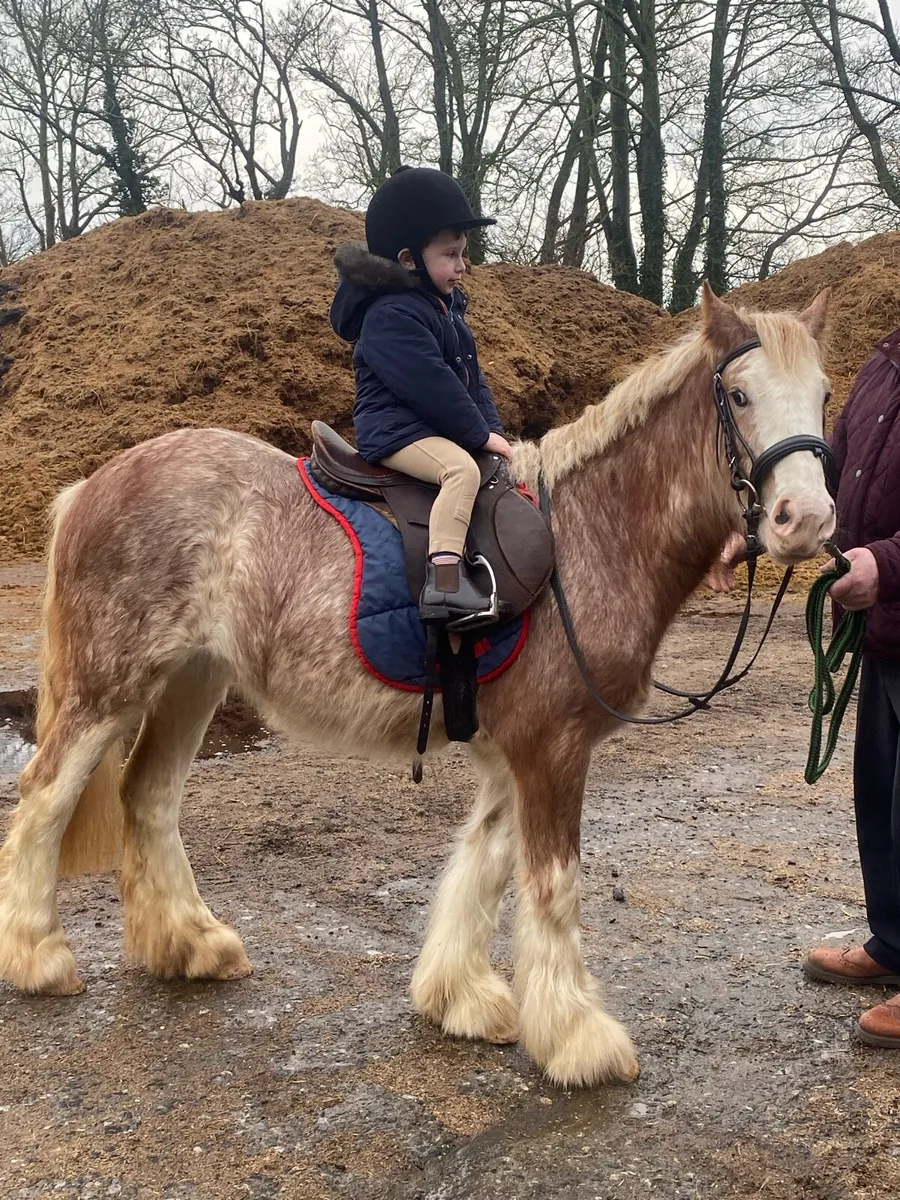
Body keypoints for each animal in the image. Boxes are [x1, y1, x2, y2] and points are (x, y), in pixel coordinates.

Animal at [0, 284, 835, 1088]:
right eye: (740, 395)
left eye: (824, 393)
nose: (807, 520)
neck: (590, 536)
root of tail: (91, 485)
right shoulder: (554, 749)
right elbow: (552, 885)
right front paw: (577, 1041)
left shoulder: (513, 753)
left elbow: (484, 864)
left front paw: (458, 997)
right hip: (109, 686)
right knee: (45, 796)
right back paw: (38, 956)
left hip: (192, 680)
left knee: (148, 796)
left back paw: (190, 943)